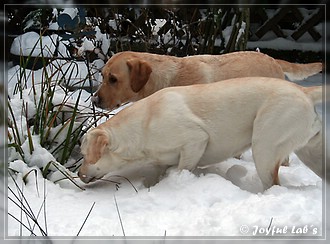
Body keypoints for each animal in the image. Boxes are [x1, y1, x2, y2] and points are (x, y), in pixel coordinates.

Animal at [78, 77, 322, 190]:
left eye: (84, 155)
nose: (78, 175)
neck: (144, 124)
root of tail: (304, 91)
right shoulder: (160, 160)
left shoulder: (195, 140)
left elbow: (182, 168)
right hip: (313, 154)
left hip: (264, 147)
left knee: (273, 183)